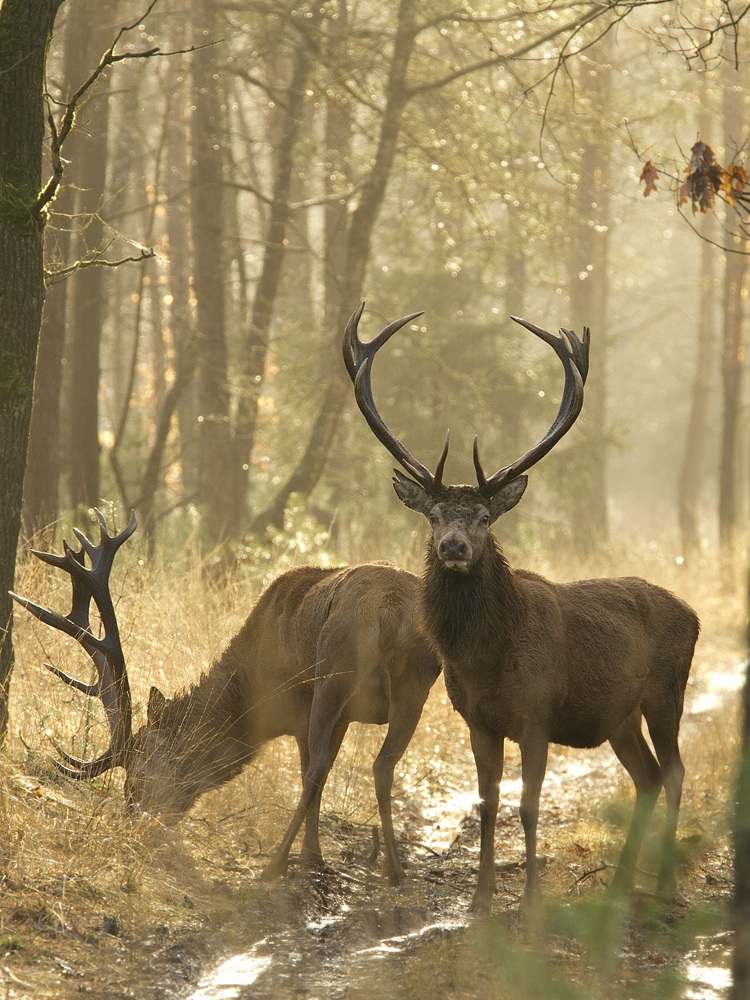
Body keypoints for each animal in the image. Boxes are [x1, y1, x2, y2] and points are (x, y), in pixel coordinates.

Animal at [13, 516, 440, 884]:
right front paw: (316, 857)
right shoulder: (346, 718)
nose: (132, 821)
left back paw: (275, 866)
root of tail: (388, 612)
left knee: (318, 770)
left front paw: (311, 857)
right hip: (416, 683)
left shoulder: (300, 712)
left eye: (139, 774)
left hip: (333, 675)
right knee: (383, 764)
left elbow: (312, 773)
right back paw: (395, 870)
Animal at [344, 306, 704, 916]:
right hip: (619, 716)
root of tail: (694, 614)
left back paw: (664, 888)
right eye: (433, 516)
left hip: (666, 690)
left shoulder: (538, 712)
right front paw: (481, 898)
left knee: (675, 771)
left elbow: (528, 806)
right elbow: (488, 804)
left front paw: (531, 898)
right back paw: (620, 885)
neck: (488, 658)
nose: (454, 547)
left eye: (485, 518)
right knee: (648, 777)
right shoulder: (477, 721)